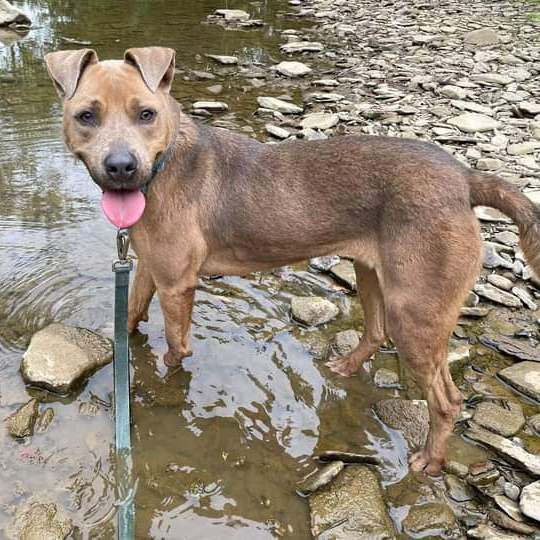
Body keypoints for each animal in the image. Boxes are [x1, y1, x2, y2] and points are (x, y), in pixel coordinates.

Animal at [44, 48, 540, 474]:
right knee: (375, 332)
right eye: (86, 116)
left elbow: (174, 350)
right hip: (372, 277)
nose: (121, 167)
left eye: (146, 114)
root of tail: (464, 178)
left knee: (447, 400)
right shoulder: (149, 269)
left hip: (416, 314)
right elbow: (128, 317)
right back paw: (345, 368)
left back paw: (430, 461)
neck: (163, 166)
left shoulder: (176, 285)